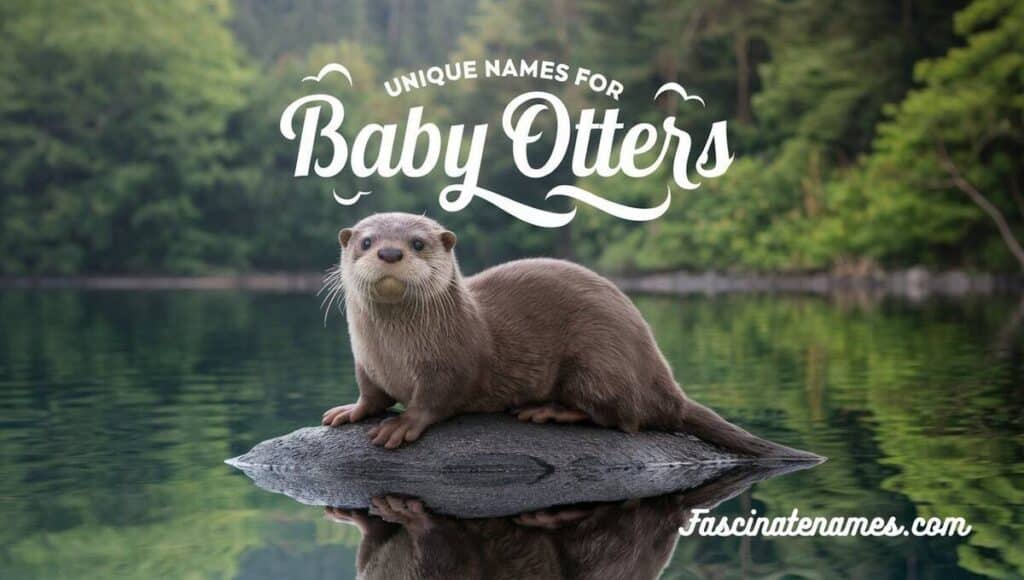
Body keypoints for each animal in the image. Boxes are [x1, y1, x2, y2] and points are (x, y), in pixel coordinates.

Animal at [321, 212, 812, 458]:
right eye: (365, 241)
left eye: (418, 243)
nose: (389, 252)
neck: (393, 352)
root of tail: (663, 379)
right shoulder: (365, 361)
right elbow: (371, 395)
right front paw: (350, 411)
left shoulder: (451, 362)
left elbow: (435, 400)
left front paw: (402, 425)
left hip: (598, 359)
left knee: (624, 419)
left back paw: (549, 411)